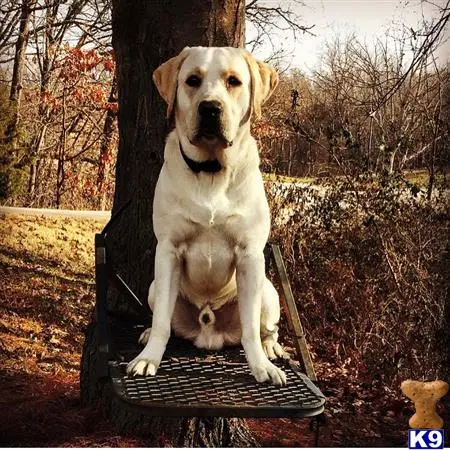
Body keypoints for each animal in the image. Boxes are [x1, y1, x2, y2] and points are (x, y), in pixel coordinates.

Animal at [126, 48, 286, 386]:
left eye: (234, 81)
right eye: (192, 80)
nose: (210, 108)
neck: (212, 171)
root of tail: (209, 331)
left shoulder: (250, 256)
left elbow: (250, 329)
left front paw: (261, 366)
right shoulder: (168, 251)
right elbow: (162, 323)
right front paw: (148, 358)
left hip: (268, 291)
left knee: (266, 328)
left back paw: (271, 348)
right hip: (154, 287)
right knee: (163, 320)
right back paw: (147, 335)